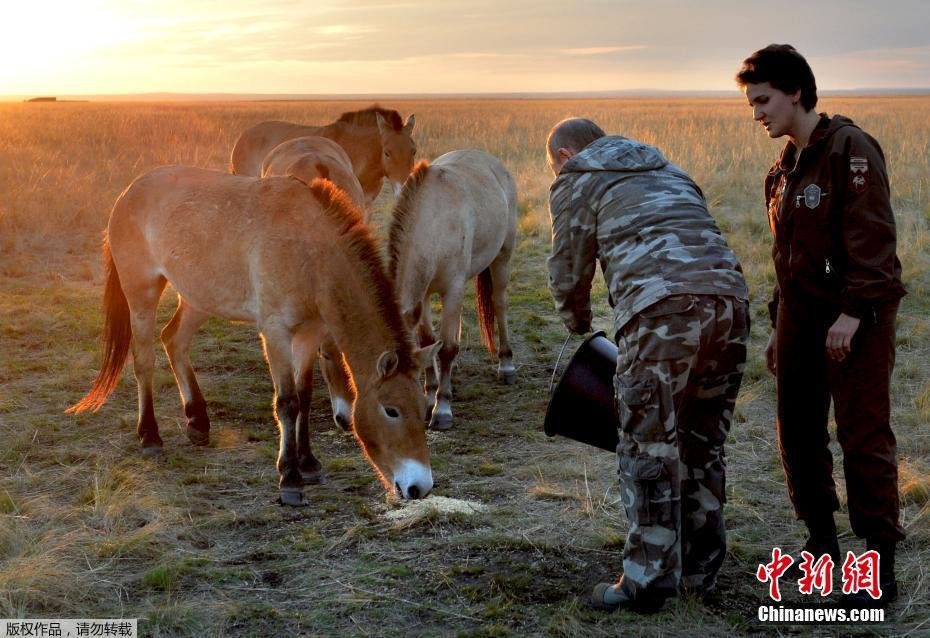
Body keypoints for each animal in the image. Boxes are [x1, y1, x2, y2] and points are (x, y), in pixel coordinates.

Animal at [69, 168, 438, 508]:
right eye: (391, 410)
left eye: (423, 408)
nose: (419, 486)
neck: (310, 250)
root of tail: (129, 191)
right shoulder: (275, 333)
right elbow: (287, 402)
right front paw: (290, 478)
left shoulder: (309, 334)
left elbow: (304, 396)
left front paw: (308, 463)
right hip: (142, 292)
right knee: (144, 359)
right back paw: (149, 437)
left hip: (199, 297)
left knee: (173, 340)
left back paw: (197, 420)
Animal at [384, 149, 520, 430]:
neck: (434, 223)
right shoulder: (423, 297)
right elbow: (428, 341)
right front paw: (429, 397)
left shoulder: (452, 289)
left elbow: (446, 347)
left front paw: (442, 409)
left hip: (502, 258)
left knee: (500, 305)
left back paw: (506, 365)